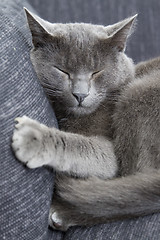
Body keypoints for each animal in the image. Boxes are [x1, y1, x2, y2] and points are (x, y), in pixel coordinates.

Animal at [11, 8, 160, 231]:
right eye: (62, 70)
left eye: (96, 72)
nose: (80, 94)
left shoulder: (110, 155)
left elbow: (82, 145)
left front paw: (33, 137)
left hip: (139, 92)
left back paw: (61, 214)